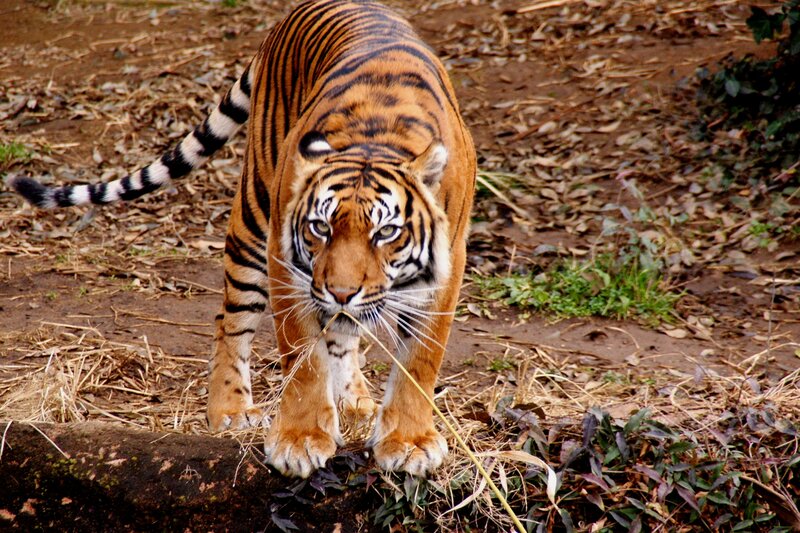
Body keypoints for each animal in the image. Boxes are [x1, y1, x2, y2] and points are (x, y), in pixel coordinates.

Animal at [8, 0, 475, 478]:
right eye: (320, 227)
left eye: (386, 233)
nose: (341, 292)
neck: (376, 138)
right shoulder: (285, 259)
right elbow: (302, 357)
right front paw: (300, 440)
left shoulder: (447, 266)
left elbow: (420, 359)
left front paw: (409, 442)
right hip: (253, 216)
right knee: (230, 320)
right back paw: (231, 411)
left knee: (342, 334)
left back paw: (354, 401)